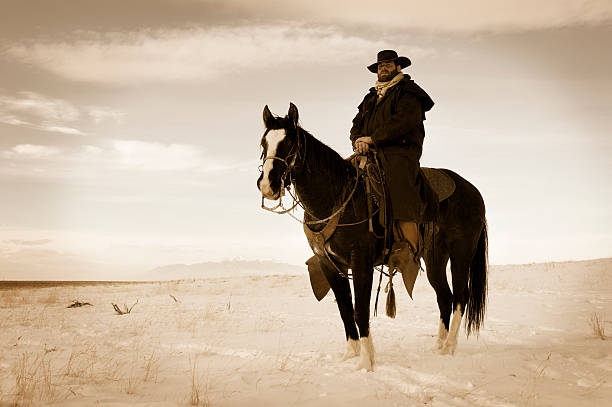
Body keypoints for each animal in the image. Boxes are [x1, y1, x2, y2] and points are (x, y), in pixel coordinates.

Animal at [256, 103, 488, 372]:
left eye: (289, 143)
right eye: (264, 143)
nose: (267, 185)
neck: (336, 197)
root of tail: (472, 190)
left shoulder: (361, 262)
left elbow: (360, 310)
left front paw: (366, 362)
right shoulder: (329, 264)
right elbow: (345, 309)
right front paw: (351, 354)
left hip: (461, 253)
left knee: (461, 295)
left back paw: (450, 346)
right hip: (435, 259)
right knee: (445, 296)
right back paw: (438, 346)